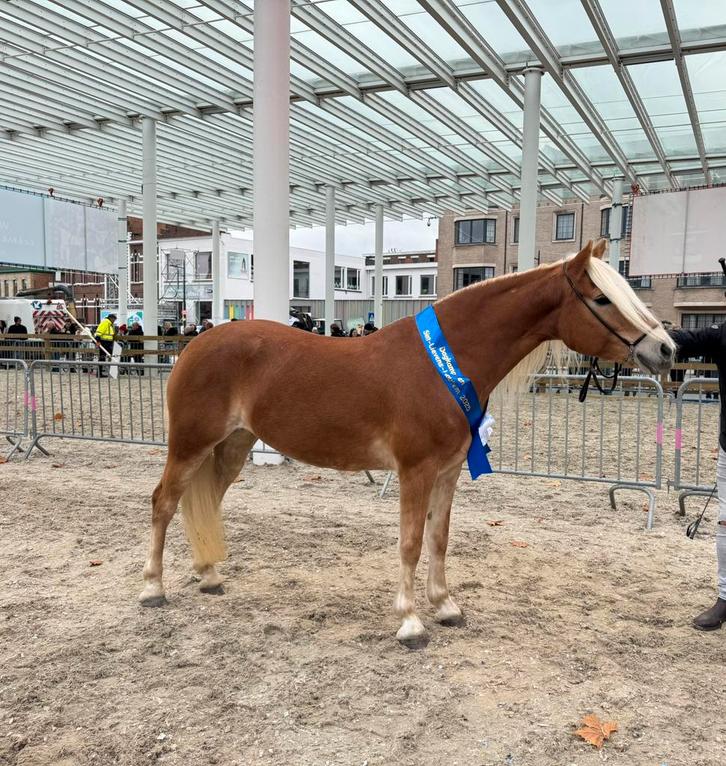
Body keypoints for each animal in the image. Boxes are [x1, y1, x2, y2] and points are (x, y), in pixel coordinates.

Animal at [139, 240, 674, 647]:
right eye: (601, 299)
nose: (666, 350)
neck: (442, 364)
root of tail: (196, 345)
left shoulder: (449, 470)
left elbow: (439, 538)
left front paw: (446, 605)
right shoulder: (416, 470)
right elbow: (412, 542)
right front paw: (411, 621)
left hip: (231, 447)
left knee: (203, 499)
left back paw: (209, 574)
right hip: (189, 445)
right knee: (164, 501)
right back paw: (153, 588)